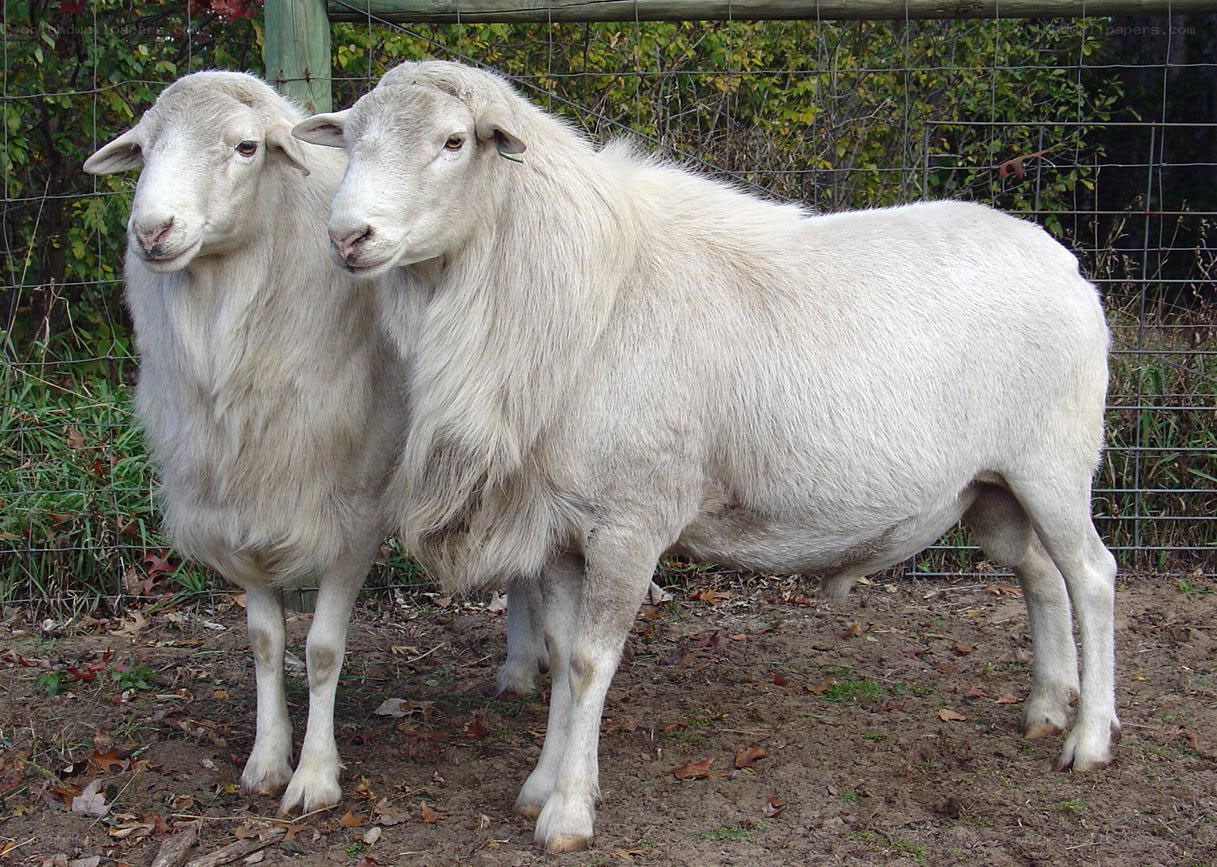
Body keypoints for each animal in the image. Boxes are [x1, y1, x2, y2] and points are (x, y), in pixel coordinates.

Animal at [82, 71, 409, 814]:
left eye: (245, 147)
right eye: (143, 147)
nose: (152, 230)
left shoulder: (354, 513)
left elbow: (321, 649)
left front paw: (315, 775)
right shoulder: (241, 502)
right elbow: (264, 642)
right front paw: (266, 759)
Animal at [293, 59, 1120, 852]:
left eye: (453, 141)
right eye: (352, 138)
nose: (346, 237)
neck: (575, 294)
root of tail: (1061, 262)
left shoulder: (630, 522)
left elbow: (591, 661)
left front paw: (567, 811)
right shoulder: (559, 527)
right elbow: (559, 651)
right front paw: (541, 782)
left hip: (1053, 463)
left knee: (1091, 576)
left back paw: (1087, 739)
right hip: (993, 487)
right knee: (1039, 574)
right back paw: (1046, 705)